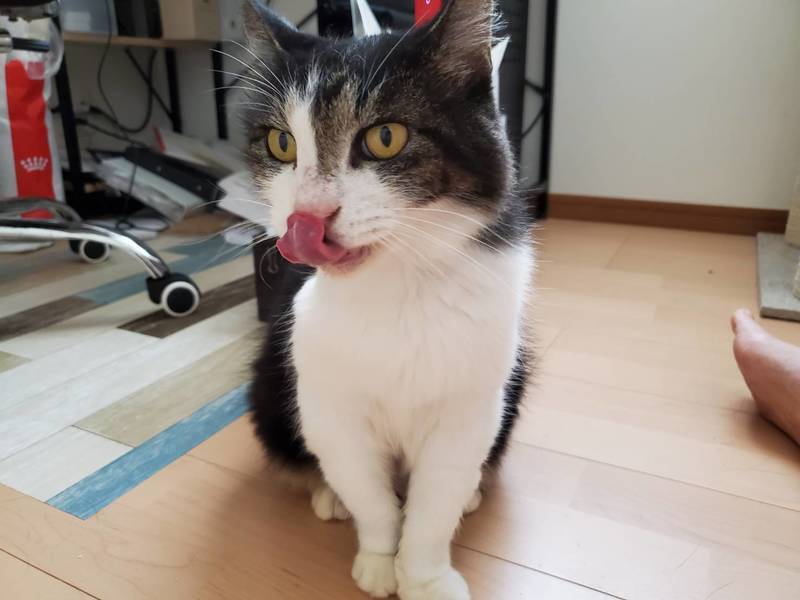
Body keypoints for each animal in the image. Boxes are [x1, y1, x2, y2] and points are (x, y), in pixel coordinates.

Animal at [243, 0, 534, 597]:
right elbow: (370, 494)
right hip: (270, 390)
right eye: (282, 143)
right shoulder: (330, 407)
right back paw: (326, 494)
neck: (397, 283)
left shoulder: (469, 408)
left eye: (385, 138)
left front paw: (425, 577)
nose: (308, 216)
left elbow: (434, 503)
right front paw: (379, 561)